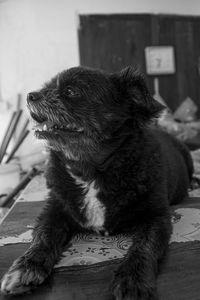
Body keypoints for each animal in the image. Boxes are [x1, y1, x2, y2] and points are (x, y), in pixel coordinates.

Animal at [0, 67, 193, 298]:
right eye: (46, 87)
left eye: (71, 91)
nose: (31, 95)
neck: (89, 172)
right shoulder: (54, 210)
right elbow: (42, 236)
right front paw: (25, 267)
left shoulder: (156, 218)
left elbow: (144, 246)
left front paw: (132, 278)